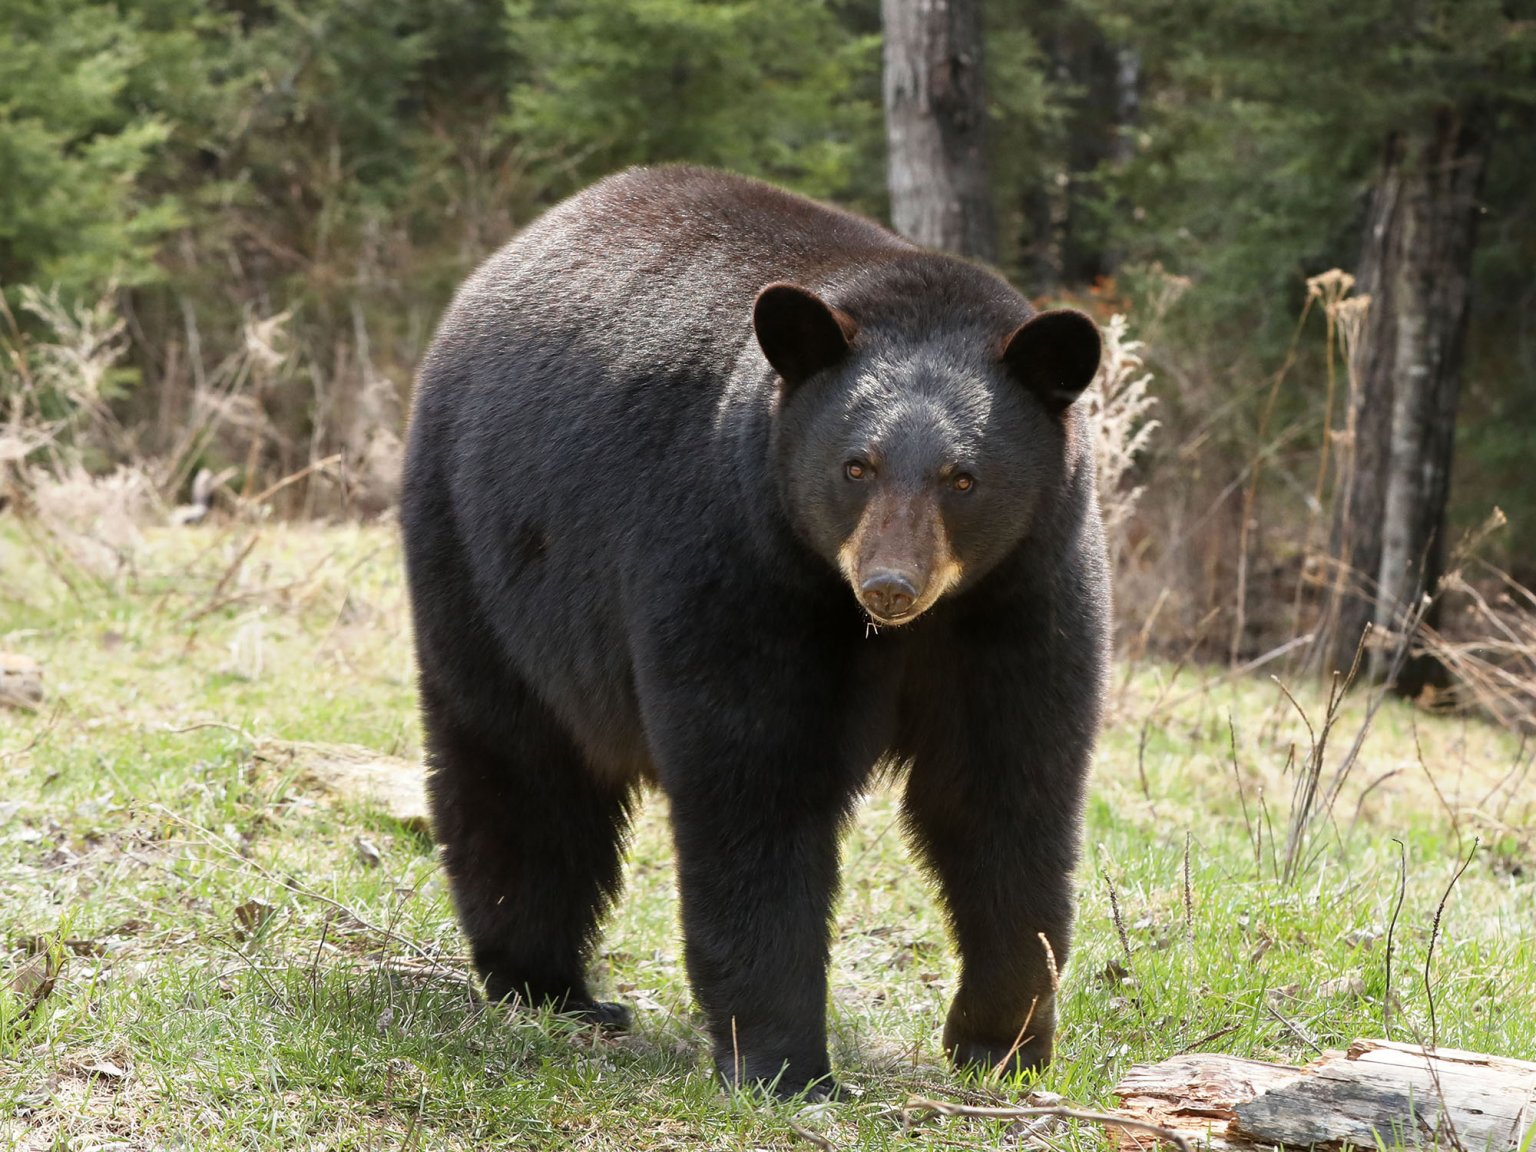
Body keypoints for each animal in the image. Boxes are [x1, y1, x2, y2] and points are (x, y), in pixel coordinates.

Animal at [400, 165, 1109, 1099]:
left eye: (964, 479)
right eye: (856, 467)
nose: (890, 586)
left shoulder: (1022, 594)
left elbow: (1004, 790)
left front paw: (1002, 1042)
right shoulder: (736, 561)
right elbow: (757, 785)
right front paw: (784, 1064)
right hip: (483, 555)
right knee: (519, 764)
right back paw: (547, 985)